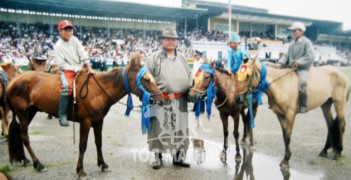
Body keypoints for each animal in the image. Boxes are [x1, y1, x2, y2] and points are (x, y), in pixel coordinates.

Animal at [6, 53, 164, 180]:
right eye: (145, 80)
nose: (161, 98)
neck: (98, 91)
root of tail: (13, 82)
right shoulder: (85, 122)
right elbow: (83, 145)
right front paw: (80, 170)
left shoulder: (99, 121)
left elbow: (98, 142)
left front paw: (103, 164)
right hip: (23, 113)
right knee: (25, 137)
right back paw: (38, 164)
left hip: (30, 112)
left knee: (21, 135)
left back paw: (25, 159)